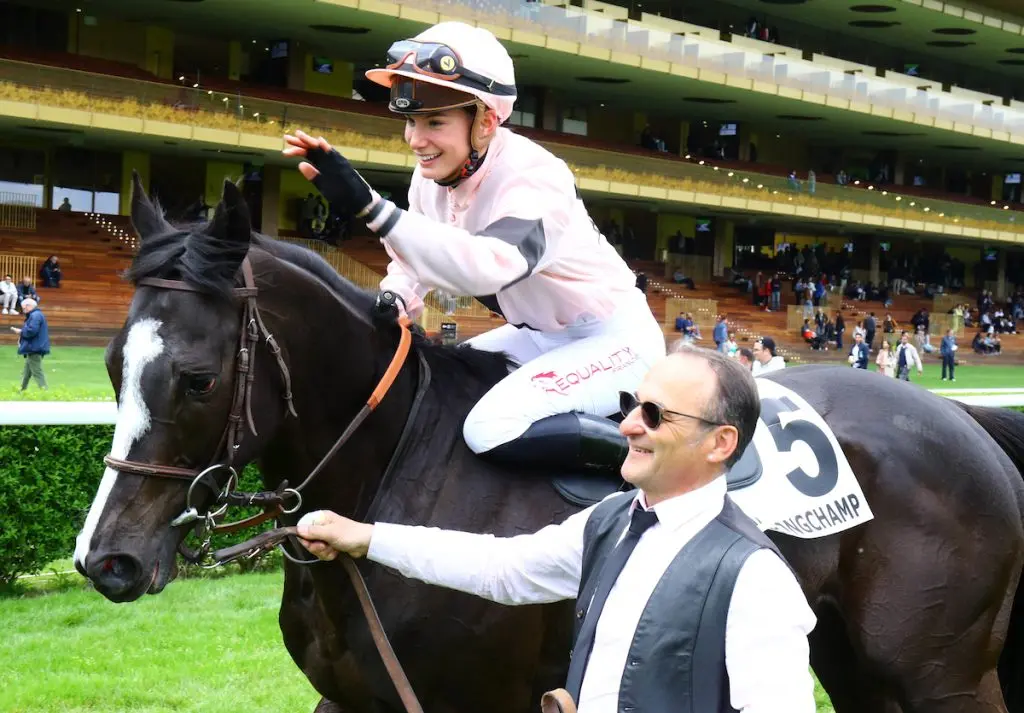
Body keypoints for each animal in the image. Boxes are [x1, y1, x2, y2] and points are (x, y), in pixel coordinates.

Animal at [75, 179, 1024, 713]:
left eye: (197, 377)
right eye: (116, 364)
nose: (105, 559)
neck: (393, 465)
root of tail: (965, 420)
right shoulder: (353, 700)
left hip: (937, 672)